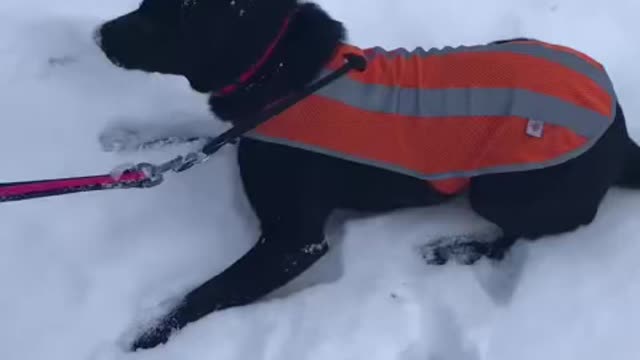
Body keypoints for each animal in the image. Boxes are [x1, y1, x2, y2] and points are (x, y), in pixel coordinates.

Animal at [95, 0, 640, 350]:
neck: (287, 75)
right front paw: (131, 141)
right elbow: (197, 141)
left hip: (502, 184)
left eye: (163, 18)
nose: (99, 34)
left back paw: (454, 249)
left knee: (527, 232)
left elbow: (203, 293)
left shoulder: (294, 242)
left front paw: (146, 336)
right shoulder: (243, 138)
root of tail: (619, 129)